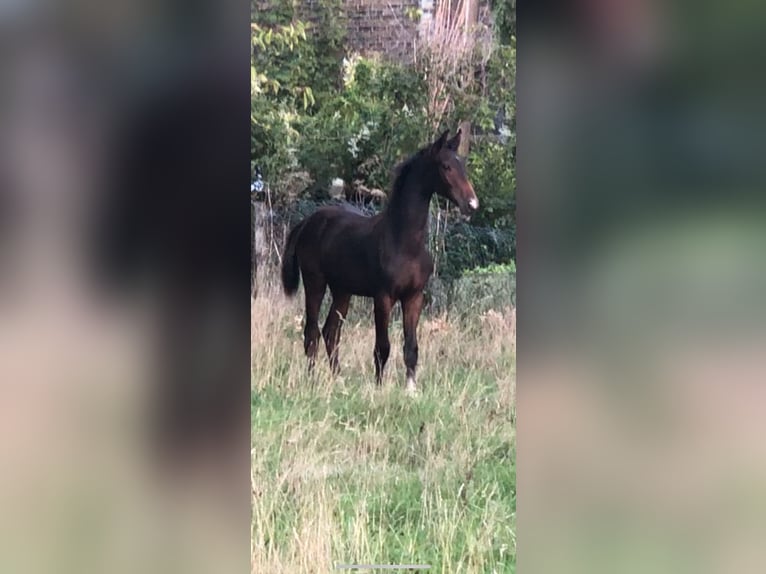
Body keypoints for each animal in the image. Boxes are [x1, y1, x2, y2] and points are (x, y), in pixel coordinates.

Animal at [280, 129, 476, 396]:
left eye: (463, 165)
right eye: (445, 166)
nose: (472, 204)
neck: (404, 241)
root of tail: (307, 223)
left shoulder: (414, 297)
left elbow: (411, 346)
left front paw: (411, 390)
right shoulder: (383, 297)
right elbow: (383, 346)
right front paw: (379, 388)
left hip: (342, 290)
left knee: (331, 332)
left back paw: (338, 380)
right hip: (315, 283)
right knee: (312, 332)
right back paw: (311, 381)